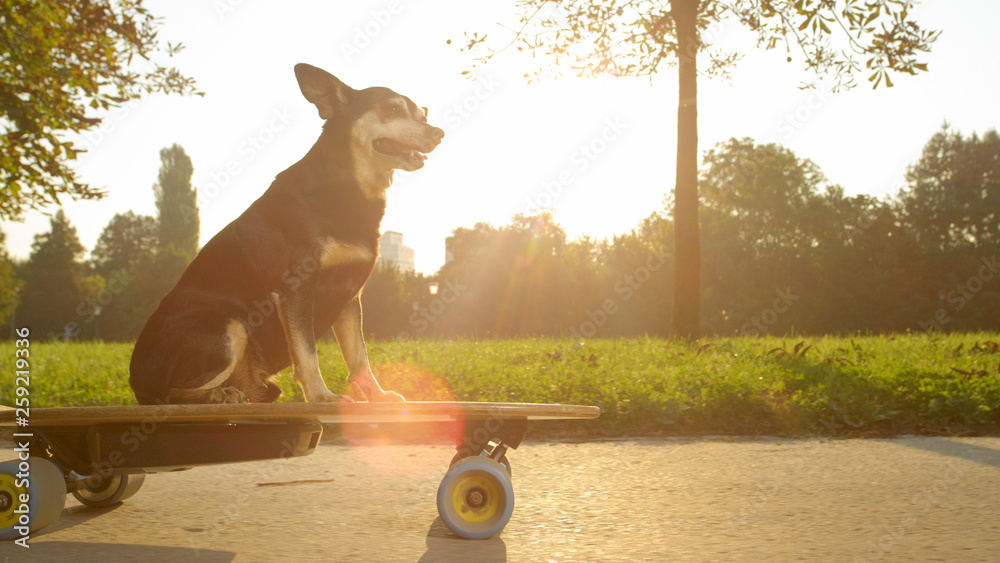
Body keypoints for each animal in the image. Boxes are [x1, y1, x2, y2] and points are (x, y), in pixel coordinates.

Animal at [131, 64, 444, 404]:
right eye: (391, 109)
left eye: (424, 115)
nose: (438, 133)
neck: (348, 189)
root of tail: (136, 382)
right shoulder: (297, 288)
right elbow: (307, 354)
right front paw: (322, 396)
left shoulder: (350, 296)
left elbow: (359, 356)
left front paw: (377, 395)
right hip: (229, 327)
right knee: (169, 395)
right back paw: (219, 396)